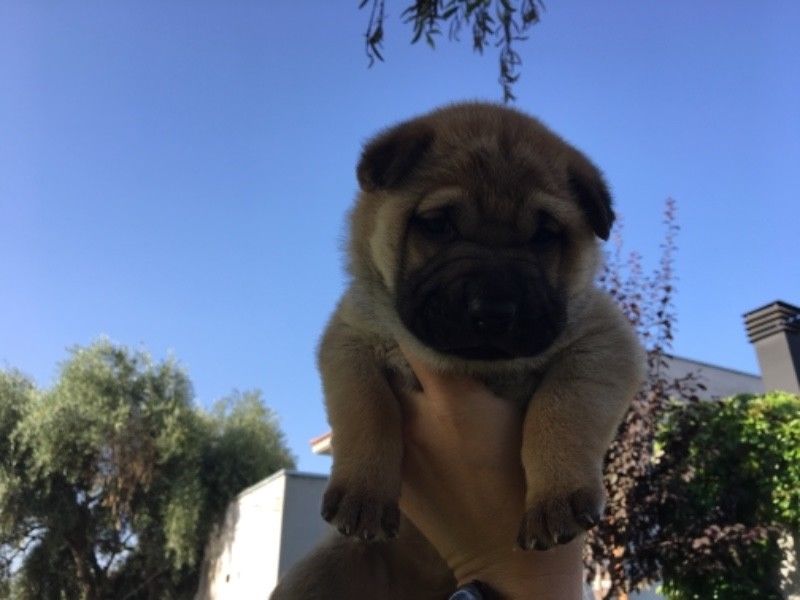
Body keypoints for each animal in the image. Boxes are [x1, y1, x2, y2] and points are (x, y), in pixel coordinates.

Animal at [272, 101, 648, 596]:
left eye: (544, 236)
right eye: (438, 225)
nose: (494, 310)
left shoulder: (603, 343)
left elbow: (560, 411)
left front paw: (557, 494)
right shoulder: (349, 339)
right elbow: (366, 410)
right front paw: (363, 492)